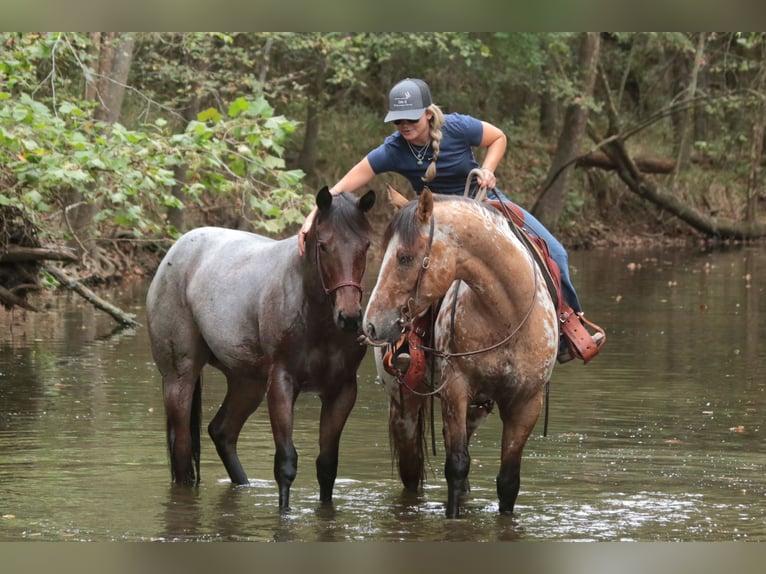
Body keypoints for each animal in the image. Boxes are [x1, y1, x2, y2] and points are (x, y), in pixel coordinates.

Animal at [146, 187, 375, 510]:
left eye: (365, 245)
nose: (350, 317)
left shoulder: (341, 391)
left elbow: (327, 466)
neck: (314, 315)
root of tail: (176, 250)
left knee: (222, 432)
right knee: (182, 450)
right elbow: (286, 463)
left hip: (246, 383)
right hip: (179, 379)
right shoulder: (281, 384)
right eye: (323, 246)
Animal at [362, 186, 558, 518]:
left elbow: (508, 481)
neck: (507, 314)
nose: (372, 324)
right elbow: (456, 466)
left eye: (404, 257)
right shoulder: (455, 389)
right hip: (405, 407)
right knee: (411, 470)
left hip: (478, 409)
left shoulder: (526, 403)